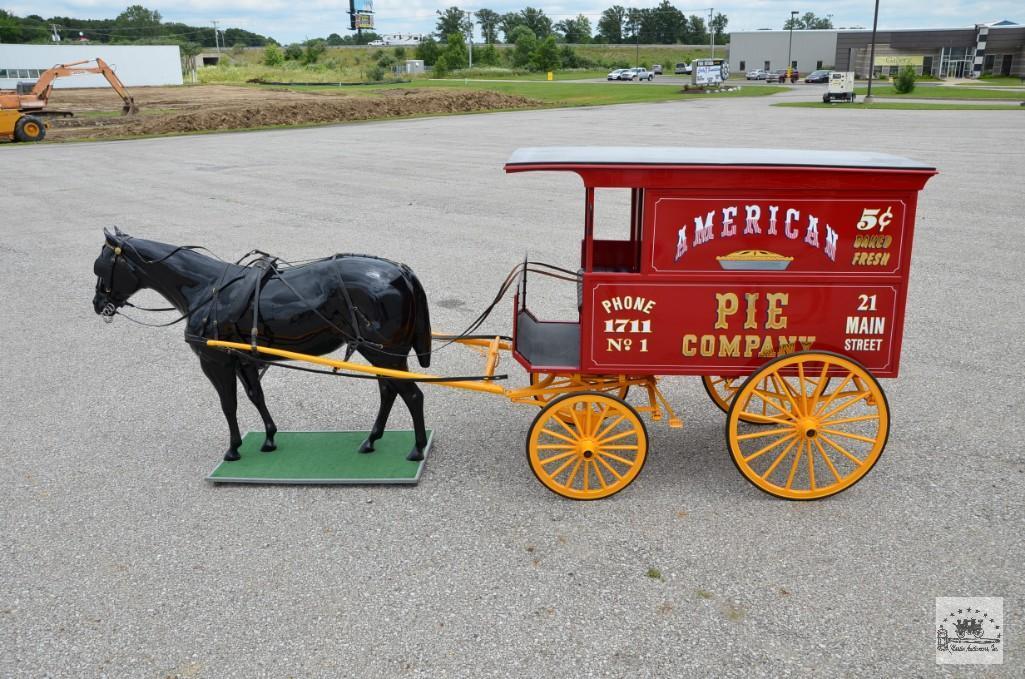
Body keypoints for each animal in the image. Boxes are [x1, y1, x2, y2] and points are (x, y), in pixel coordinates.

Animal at [92, 228, 432, 463]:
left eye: (101, 266)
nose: (98, 304)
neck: (208, 288)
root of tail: (401, 271)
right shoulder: (244, 360)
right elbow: (256, 396)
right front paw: (269, 438)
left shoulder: (215, 361)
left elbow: (228, 404)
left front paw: (233, 448)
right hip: (384, 354)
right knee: (389, 391)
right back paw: (372, 440)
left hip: (383, 353)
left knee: (412, 395)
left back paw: (417, 448)